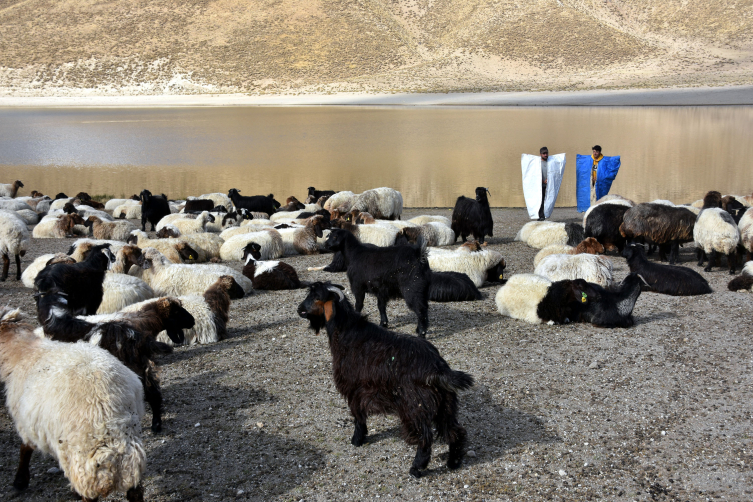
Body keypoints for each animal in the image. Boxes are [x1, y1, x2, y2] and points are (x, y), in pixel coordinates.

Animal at [0, 308, 147, 500]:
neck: (23, 351)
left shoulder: (25, 422)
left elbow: (24, 450)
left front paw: (20, 481)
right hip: (130, 439)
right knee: (134, 488)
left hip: (81, 452)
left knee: (90, 494)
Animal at [298, 282, 470, 478]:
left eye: (316, 296)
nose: (299, 309)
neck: (346, 332)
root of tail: (438, 367)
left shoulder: (354, 389)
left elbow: (358, 416)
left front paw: (357, 439)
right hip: (445, 405)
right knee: (455, 432)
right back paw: (453, 462)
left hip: (415, 407)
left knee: (426, 438)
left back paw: (416, 468)